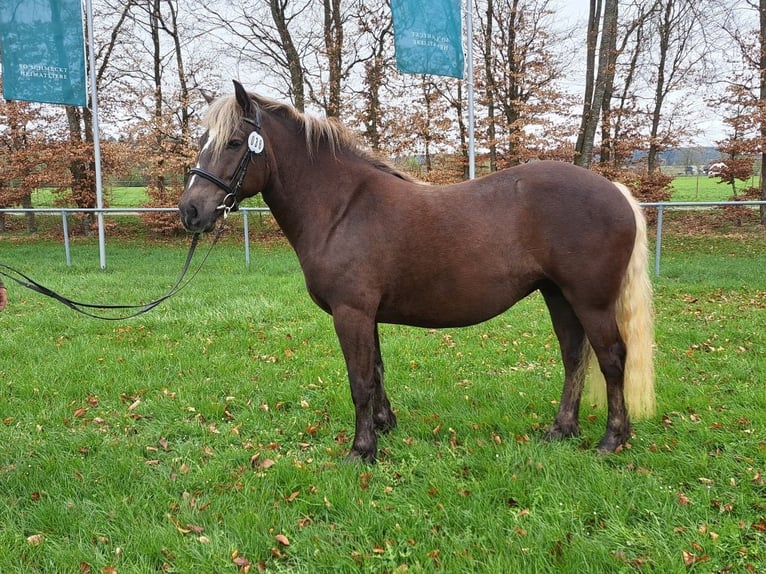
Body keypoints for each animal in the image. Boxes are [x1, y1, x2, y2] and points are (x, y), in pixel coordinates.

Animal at [179, 80, 655, 463]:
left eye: (234, 143)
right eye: (204, 139)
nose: (191, 211)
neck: (341, 207)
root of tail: (615, 190)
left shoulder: (351, 313)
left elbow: (358, 380)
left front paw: (361, 450)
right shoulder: (365, 314)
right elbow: (375, 371)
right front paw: (384, 426)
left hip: (591, 301)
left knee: (612, 359)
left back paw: (612, 439)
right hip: (558, 295)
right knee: (574, 356)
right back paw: (561, 430)